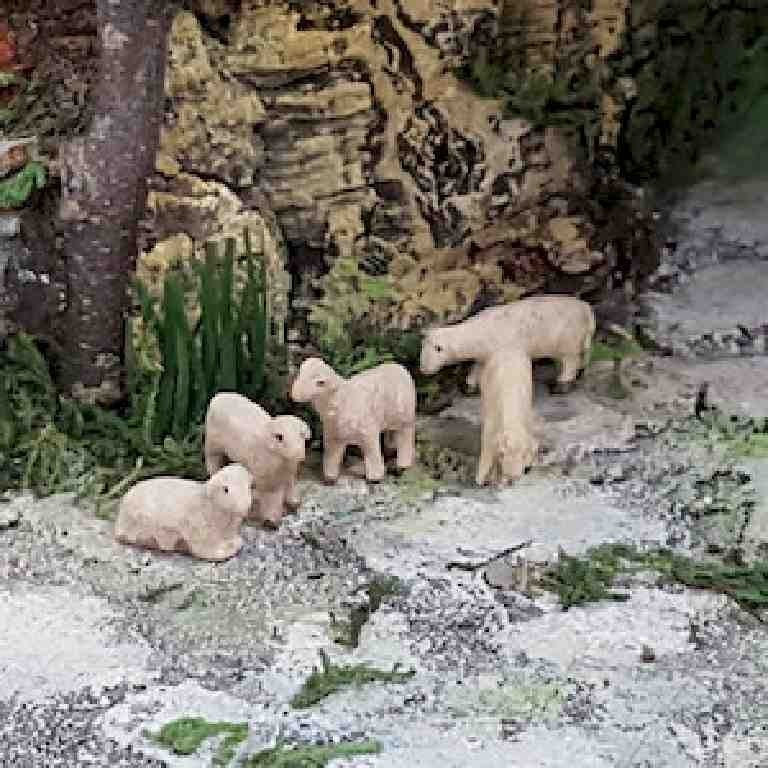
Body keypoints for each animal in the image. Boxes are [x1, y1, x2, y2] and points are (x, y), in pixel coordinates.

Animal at [114, 463, 253, 561]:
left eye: (249, 487)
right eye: (226, 489)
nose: (244, 507)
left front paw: (236, 543)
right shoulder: (199, 531)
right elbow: (206, 550)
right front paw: (226, 551)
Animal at [204, 392, 311, 528]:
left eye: (301, 435)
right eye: (279, 437)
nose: (298, 453)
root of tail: (220, 395)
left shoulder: (288, 474)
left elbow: (290, 485)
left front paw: (294, 502)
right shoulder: (267, 482)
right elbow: (272, 499)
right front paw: (271, 520)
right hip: (212, 445)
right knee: (212, 462)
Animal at [420, 295, 596, 393]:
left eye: (436, 349)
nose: (423, 370)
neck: (477, 332)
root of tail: (587, 310)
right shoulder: (484, 354)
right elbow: (476, 368)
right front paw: (469, 386)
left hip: (568, 339)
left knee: (570, 361)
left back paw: (562, 384)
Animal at [475, 346, 538, 486]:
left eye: (523, 455)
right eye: (502, 454)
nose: (512, 478)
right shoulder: (492, 421)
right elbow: (487, 444)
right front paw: (482, 479)